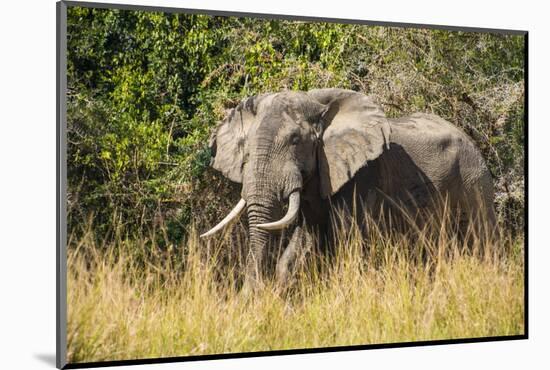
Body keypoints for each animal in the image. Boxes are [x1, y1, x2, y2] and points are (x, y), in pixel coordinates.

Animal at [201, 88, 498, 290]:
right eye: (247, 145)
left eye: (295, 140)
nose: (249, 299)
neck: (319, 106)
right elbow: (301, 245)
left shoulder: (359, 178)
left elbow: (347, 244)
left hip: (474, 178)